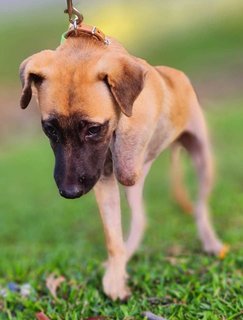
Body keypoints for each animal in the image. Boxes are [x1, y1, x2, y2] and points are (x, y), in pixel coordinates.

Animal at [19, 23, 228, 300]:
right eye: (50, 129)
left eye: (93, 129)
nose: (69, 192)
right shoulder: (103, 178)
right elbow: (113, 238)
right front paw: (116, 279)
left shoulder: (123, 157)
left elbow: (128, 157)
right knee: (140, 218)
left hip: (202, 155)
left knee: (200, 206)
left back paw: (211, 241)